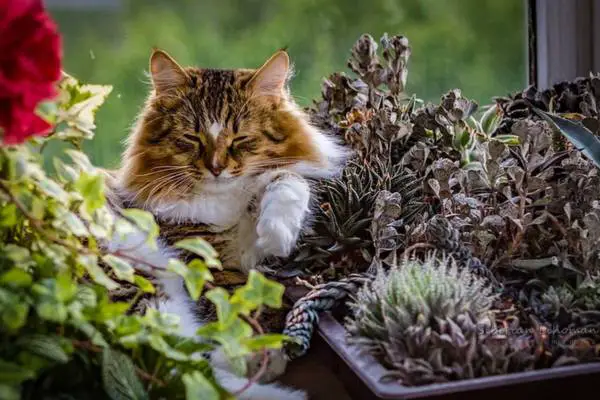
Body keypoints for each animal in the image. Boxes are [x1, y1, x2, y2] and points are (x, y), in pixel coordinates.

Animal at [102, 47, 346, 400]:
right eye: (191, 138)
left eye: (240, 139)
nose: (216, 168)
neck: (226, 203)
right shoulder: (202, 257)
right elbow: (232, 302)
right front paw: (256, 349)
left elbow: (286, 179)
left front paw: (278, 234)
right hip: (145, 289)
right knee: (189, 369)